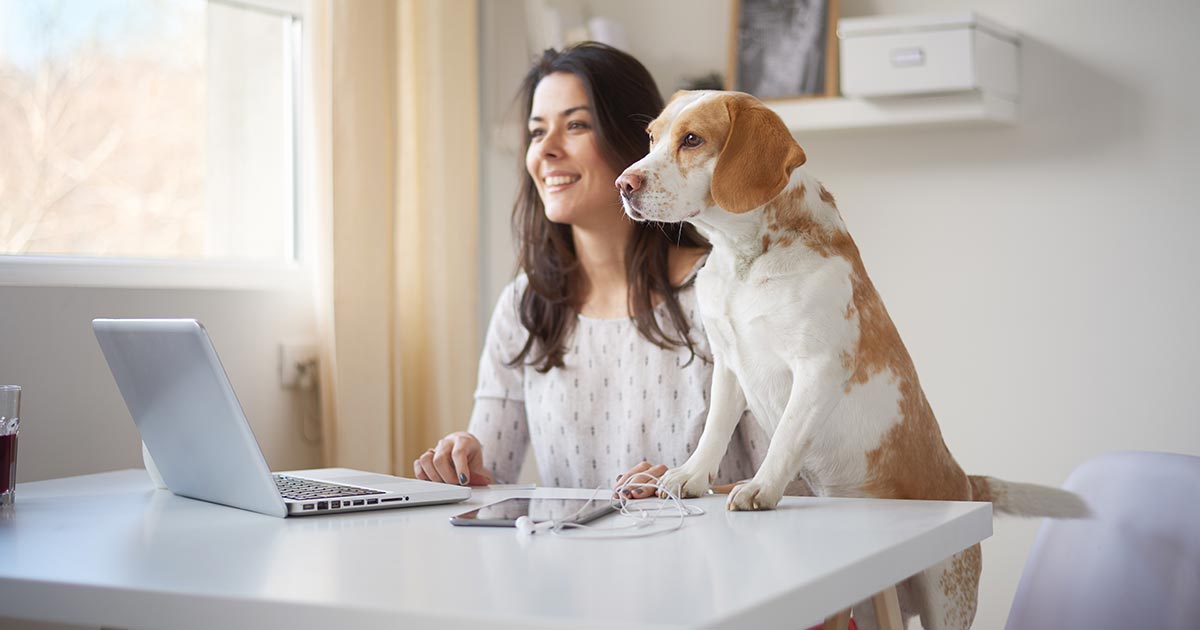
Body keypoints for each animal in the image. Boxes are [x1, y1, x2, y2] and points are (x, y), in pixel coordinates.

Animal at [614, 89, 1094, 628]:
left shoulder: (818, 365)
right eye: (651, 136)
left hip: (945, 602)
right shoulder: (729, 365)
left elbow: (785, 437)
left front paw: (761, 488)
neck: (746, 261)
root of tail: (966, 485)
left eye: (692, 139)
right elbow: (714, 432)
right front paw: (690, 477)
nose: (623, 185)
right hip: (863, 610)